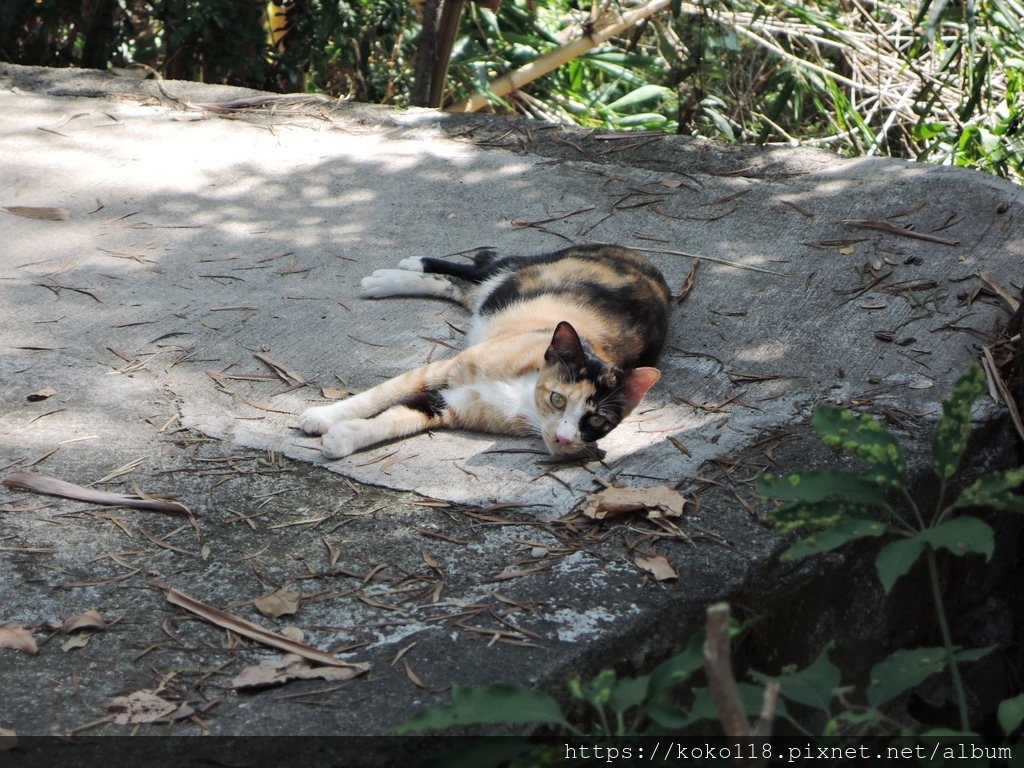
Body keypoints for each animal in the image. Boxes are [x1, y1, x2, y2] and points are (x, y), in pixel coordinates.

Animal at [299, 246, 671, 460]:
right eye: (558, 399)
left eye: (596, 420)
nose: (566, 439)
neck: (523, 395)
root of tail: (635, 254)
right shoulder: (438, 370)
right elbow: (376, 396)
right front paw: (322, 416)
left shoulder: (449, 405)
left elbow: (398, 419)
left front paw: (344, 437)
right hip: (523, 270)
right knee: (480, 269)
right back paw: (397, 273)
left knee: (460, 288)